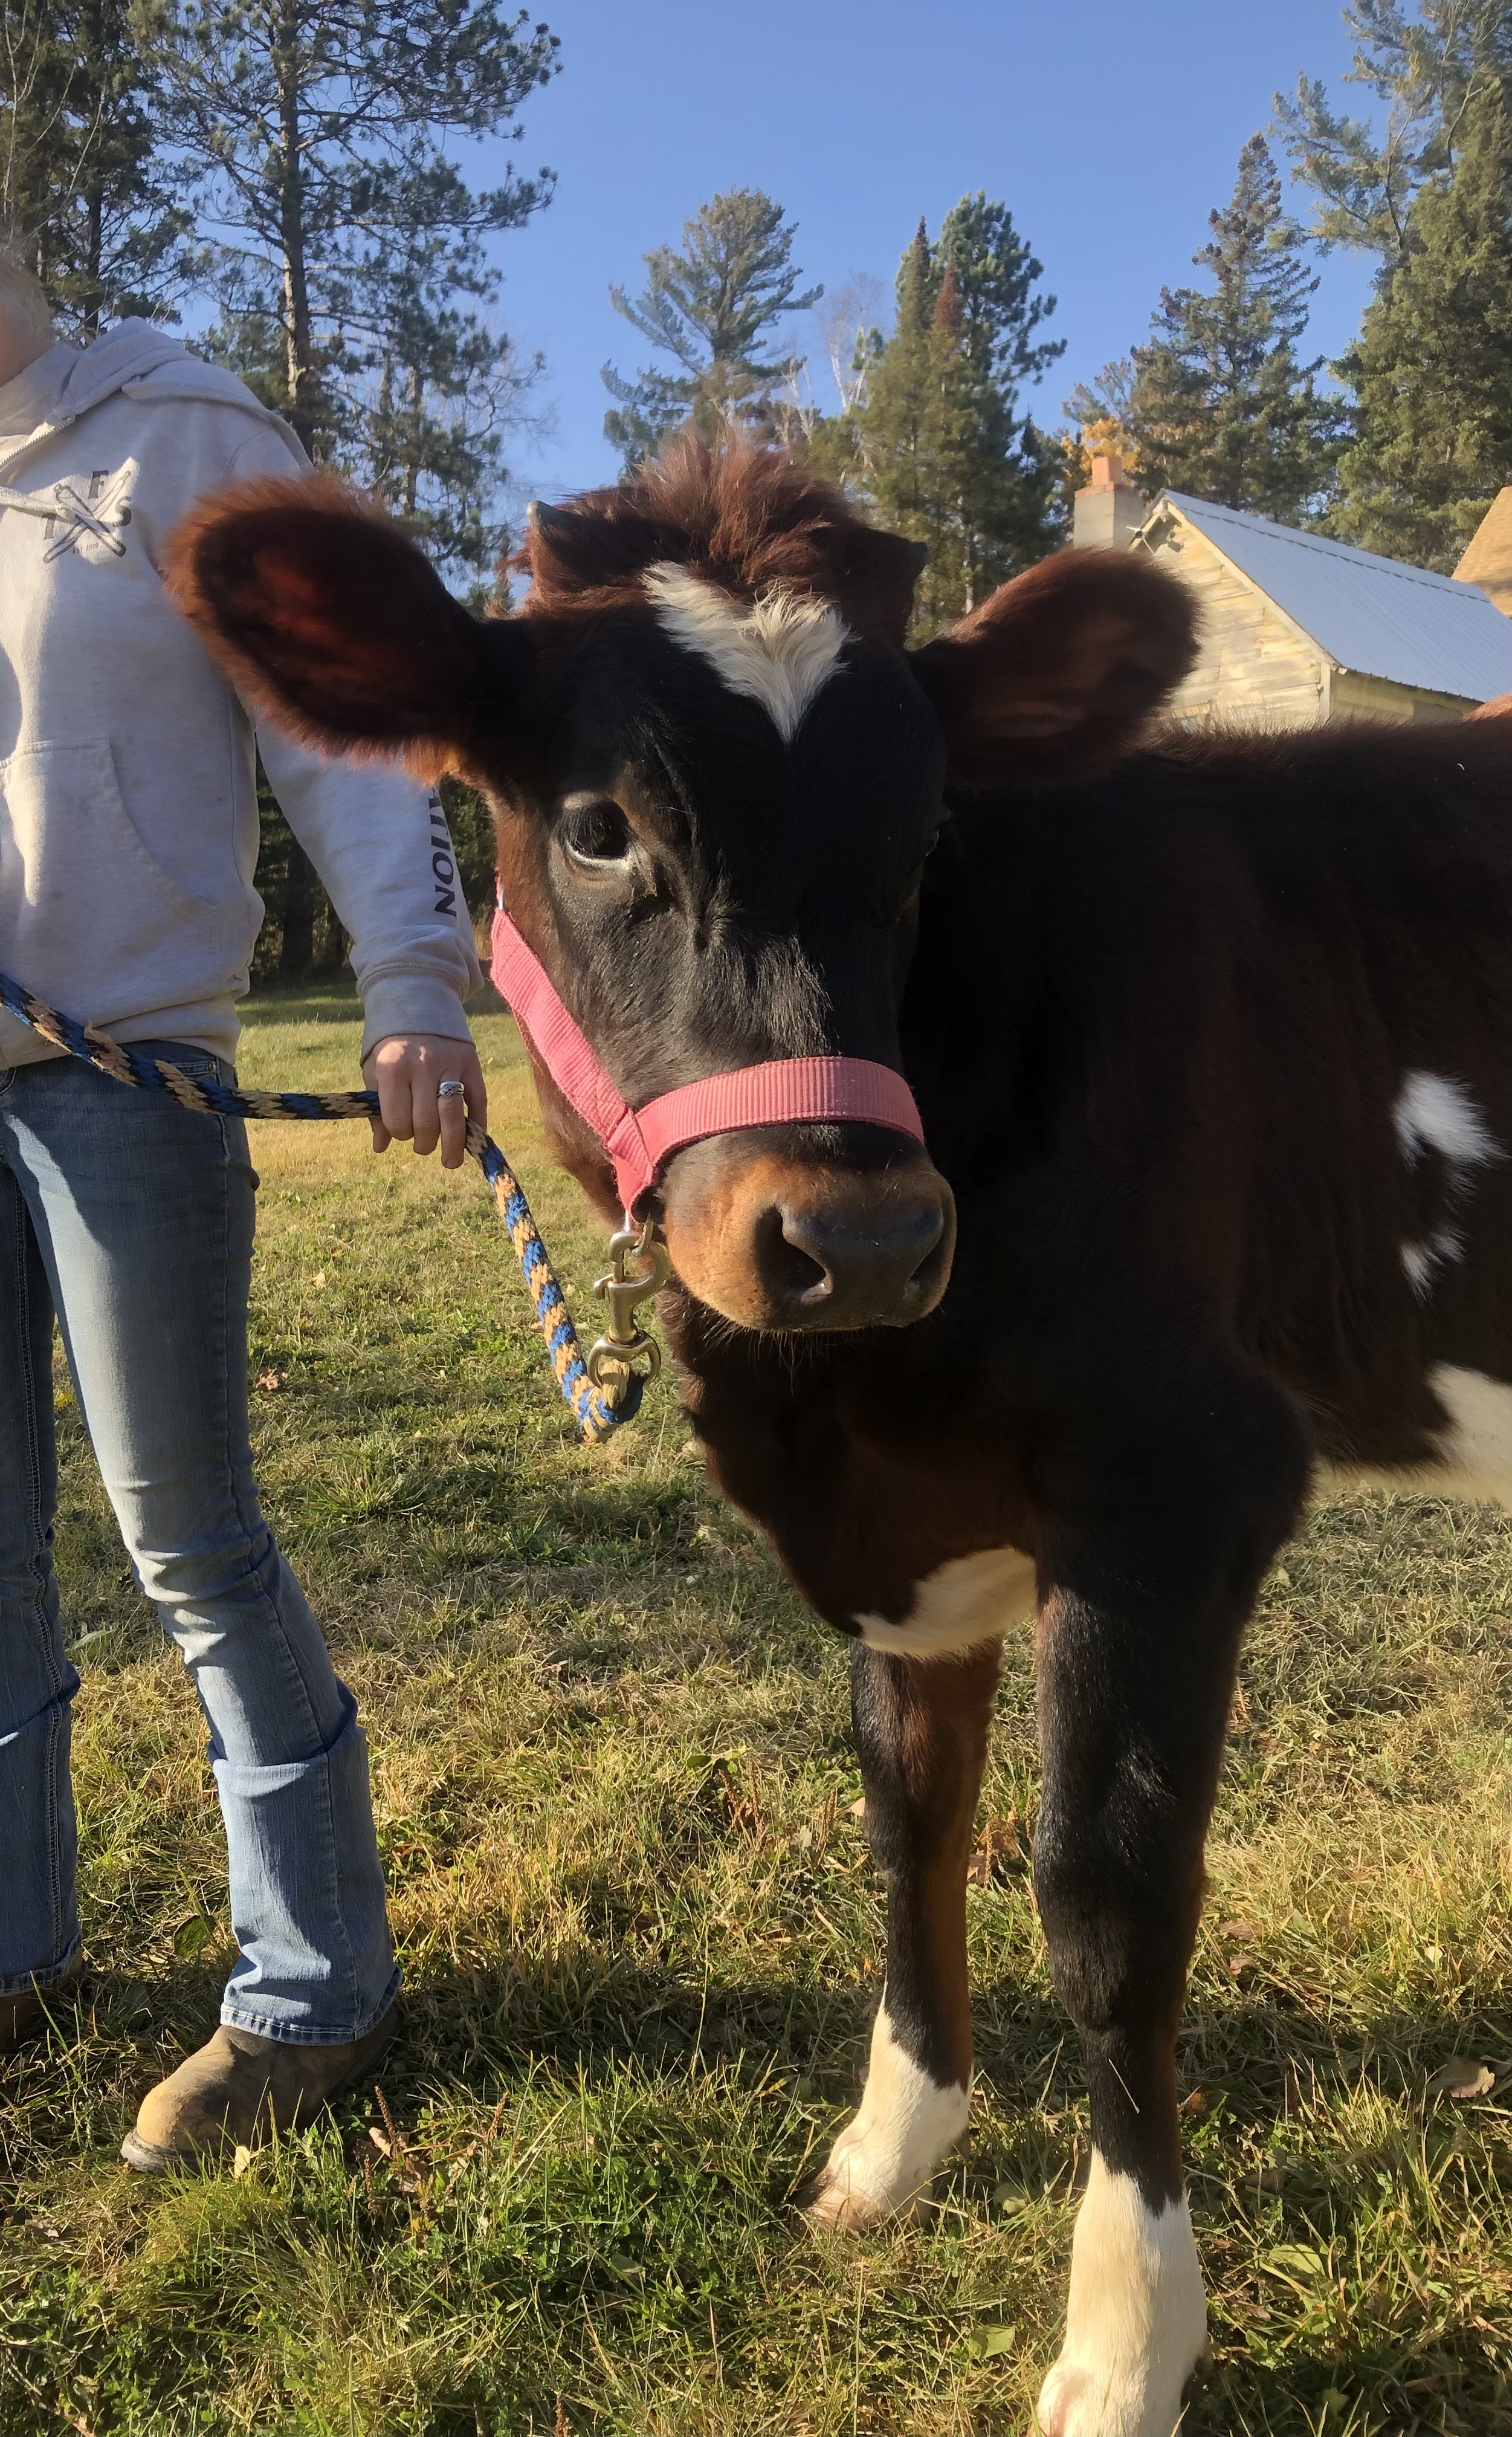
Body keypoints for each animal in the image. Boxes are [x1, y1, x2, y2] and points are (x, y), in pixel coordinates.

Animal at [165, 438, 1509, 2437]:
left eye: (925, 837)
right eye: (599, 826)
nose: (857, 1239)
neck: (828, 1418)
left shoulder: (1180, 1484)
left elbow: (1105, 1906)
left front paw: (1123, 2345)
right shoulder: (909, 1550)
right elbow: (907, 1827)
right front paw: (891, 2154)